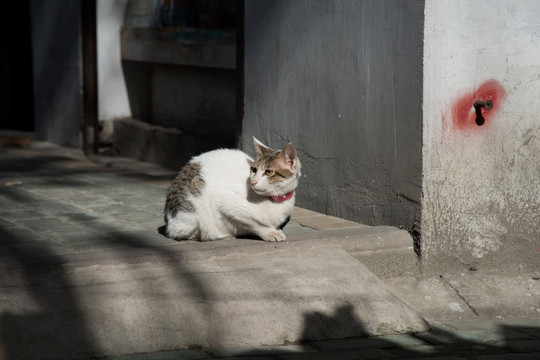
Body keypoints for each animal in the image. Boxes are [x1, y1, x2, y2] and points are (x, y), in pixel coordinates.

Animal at [162, 138, 302, 242]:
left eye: (268, 172)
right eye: (254, 169)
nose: (253, 182)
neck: (276, 200)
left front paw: (274, 229)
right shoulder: (224, 200)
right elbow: (253, 222)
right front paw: (271, 233)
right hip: (194, 210)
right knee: (188, 233)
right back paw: (221, 236)